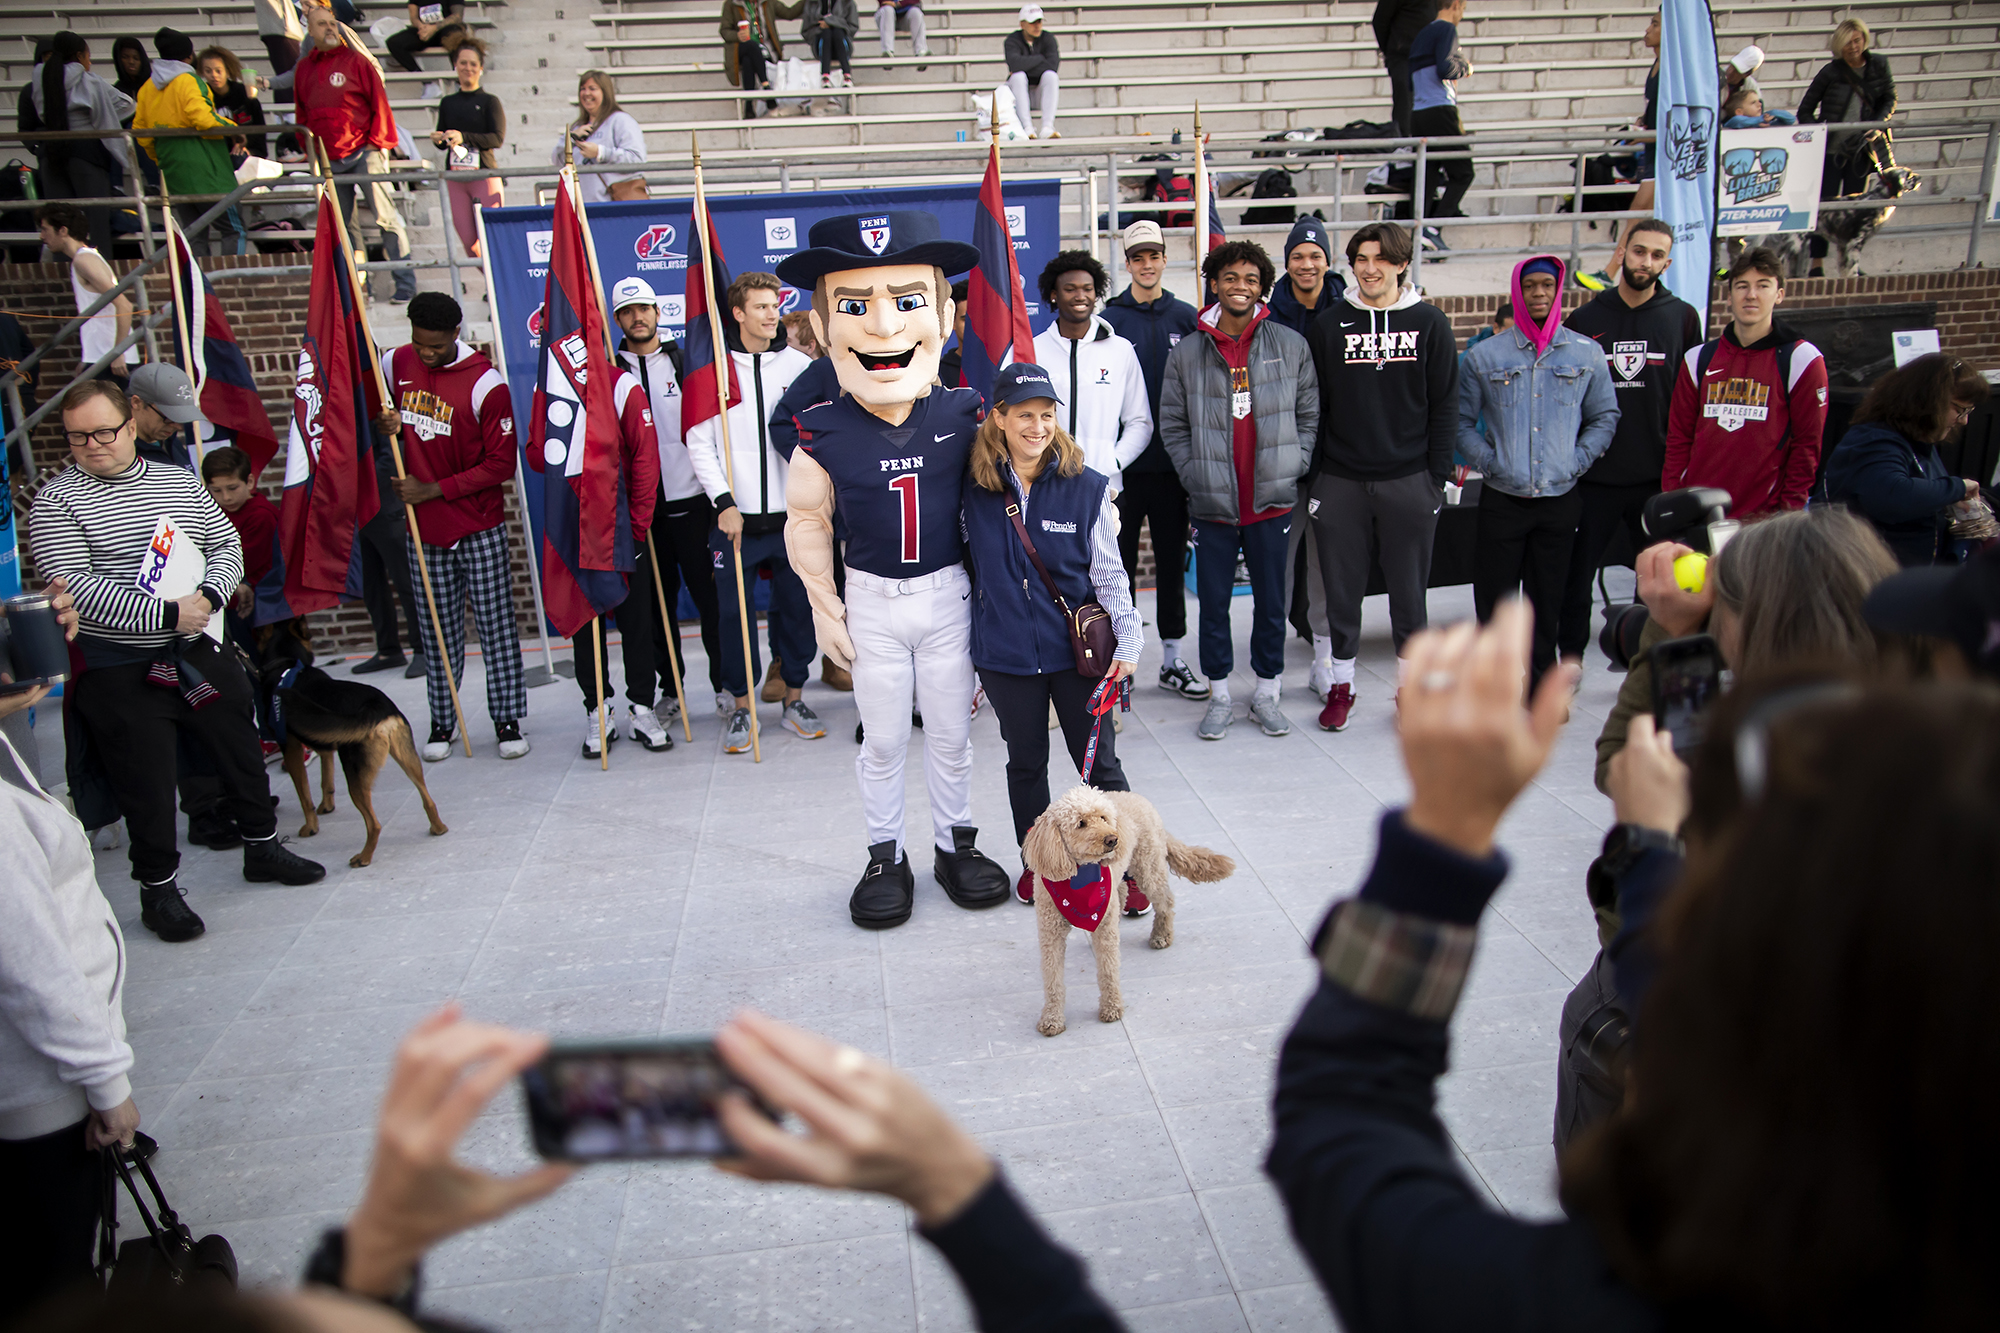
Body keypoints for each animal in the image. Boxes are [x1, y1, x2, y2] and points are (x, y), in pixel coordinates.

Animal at [254, 620, 450, 868]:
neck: (286, 664)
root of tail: (375, 707)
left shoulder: (290, 749)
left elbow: (304, 795)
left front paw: (311, 826)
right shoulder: (326, 747)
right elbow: (326, 780)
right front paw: (326, 806)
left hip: (355, 775)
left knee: (374, 824)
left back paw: (363, 857)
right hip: (408, 758)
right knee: (428, 799)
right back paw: (438, 828)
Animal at [1024, 784, 1240, 1032]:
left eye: (1103, 817)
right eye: (1081, 823)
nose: (1112, 839)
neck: (1079, 875)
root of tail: (1136, 796)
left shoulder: (1103, 929)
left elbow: (1108, 970)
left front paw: (1111, 1007)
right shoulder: (1050, 934)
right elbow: (1053, 979)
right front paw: (1052, 1019)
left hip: (1148, 867)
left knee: (1166, 901)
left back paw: (1161, 935)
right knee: (1123, 892)